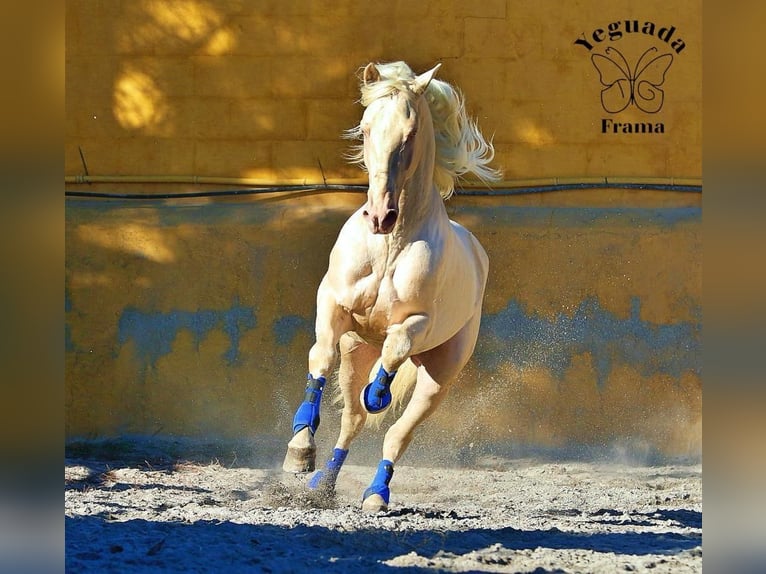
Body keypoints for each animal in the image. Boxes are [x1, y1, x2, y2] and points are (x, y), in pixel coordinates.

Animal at [284, 62, 500, 512]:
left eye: (411, 133)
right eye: (366, 129)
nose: (381, 215)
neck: (389, 245)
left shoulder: (418, 321)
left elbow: (396, 349)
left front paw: (378, 392)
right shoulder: (333, 304)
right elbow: (320, 357)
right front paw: (299, 451)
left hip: (440, 375)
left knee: (398, 433)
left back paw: (376, 493)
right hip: (356, 350)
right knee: (352, 421)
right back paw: (322, 482)